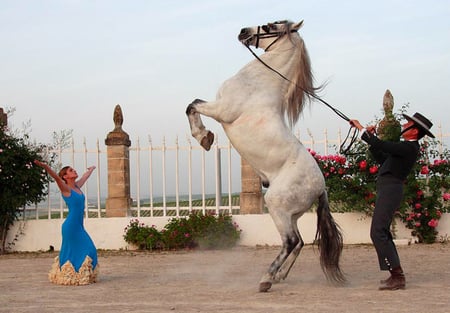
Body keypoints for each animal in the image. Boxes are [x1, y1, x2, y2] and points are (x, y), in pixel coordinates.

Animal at [185, 20, 344, 292]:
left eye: (271, 26)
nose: (243, 32)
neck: (259, 83)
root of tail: (321, 187)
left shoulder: (222, 110)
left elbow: (192, 105)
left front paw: (204, 137)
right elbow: (193, 103)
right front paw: (205, 137)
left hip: (277, 206)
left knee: (291, 241)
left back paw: (266, 279)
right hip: (291, 214)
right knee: (300, 242)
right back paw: (280, 276)